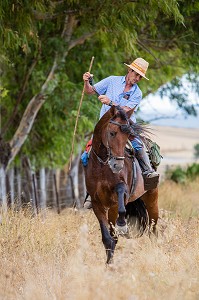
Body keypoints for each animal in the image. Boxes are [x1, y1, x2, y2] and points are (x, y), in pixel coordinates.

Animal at [84, 105, 159, 262]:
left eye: (128, 136)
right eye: (112, 133)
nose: (117, 165)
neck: (102, 164)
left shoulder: (120, 196)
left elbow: (120, 193)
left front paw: (122, 225)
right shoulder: (97, 203)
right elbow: (107, 238)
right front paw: (109, 264)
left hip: (152, 200)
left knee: (153, 229)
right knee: (114, 237)